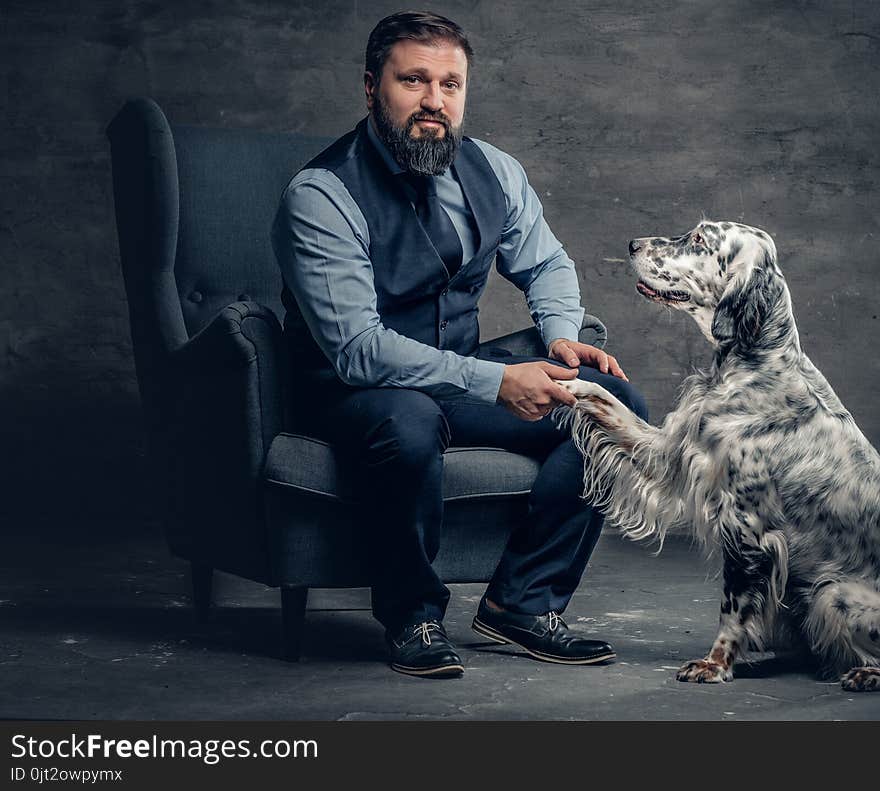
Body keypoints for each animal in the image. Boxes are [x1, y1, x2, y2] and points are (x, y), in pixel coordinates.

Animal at [556, 220, 880, 688]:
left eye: (699, 240)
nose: (632, 244)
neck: (754, 363)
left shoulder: (747, 526)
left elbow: (733, 606)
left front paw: (714, 663)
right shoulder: (667, 451)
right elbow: (604, 400)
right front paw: (558, 380)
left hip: (833, 593)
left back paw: (864, 673)